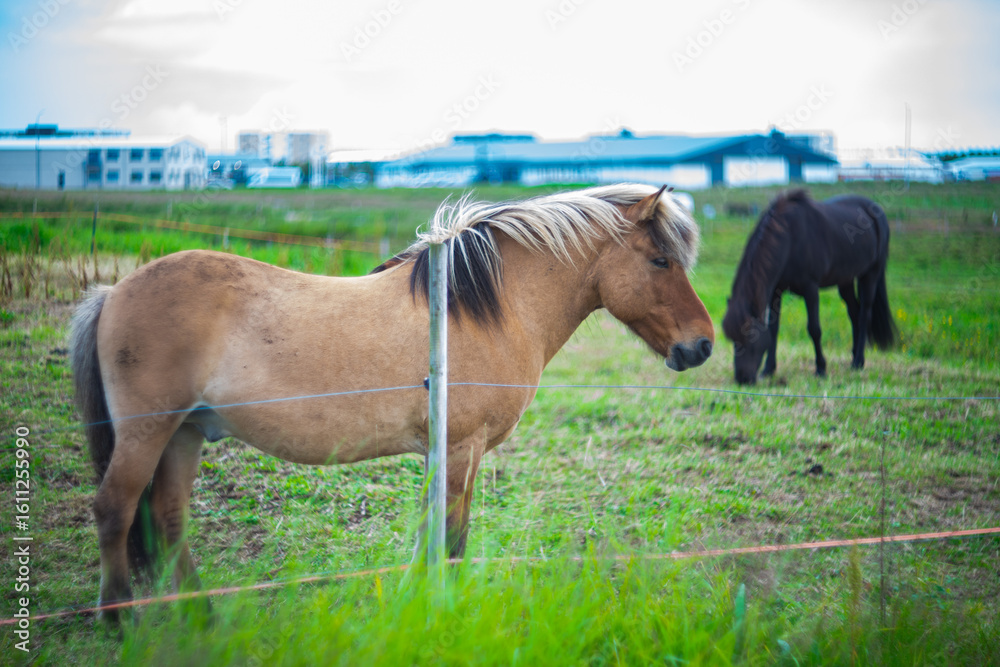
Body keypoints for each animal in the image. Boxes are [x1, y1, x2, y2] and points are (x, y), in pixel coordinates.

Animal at [70, 183, 715, 621]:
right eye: (660, 260)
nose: (702, 345)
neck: (478, 309)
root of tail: (114, 291)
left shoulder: (443, 450)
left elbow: (429, 532)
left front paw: (412, 602)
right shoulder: (461, 449)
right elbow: (450, 537)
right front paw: (442, 610)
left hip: (184, 433)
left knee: (168, 517)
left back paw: (202, 615)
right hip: (148, 432)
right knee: (115, 509)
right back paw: (120, 621)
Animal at [722, 189, 897, 385]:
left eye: (749, 337)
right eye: (733, 339)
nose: (742, 379)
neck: (790, 239)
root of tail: (876, 210)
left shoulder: (810, 289)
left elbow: (814, 329)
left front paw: (821, 368)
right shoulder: (776, 292)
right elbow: (774, 330)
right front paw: (768, 369)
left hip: (871, 274)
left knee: (864, 314)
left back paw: (859, 361)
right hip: (845, 280)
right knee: (854, 313)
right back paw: (853, 358)